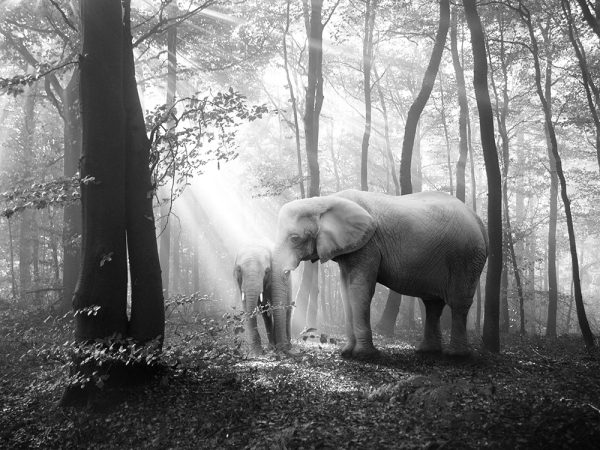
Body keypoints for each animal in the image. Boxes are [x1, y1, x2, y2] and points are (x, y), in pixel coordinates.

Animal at [270, 190, 488, 358]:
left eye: (294, 238)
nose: (289, 350)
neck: (325, 200)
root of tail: (478, 220)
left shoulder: (368, 245)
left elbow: (360, 290)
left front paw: (365, 356)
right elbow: (346, 290)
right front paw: (346, 353)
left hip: (465, 257)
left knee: (458, 303)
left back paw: (456, 356)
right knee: (432, 304)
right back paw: (427, 351)